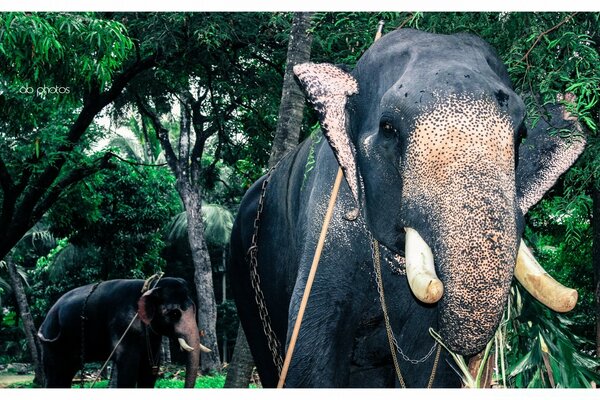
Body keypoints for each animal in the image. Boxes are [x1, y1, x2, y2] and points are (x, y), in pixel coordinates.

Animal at [38, 278, 211, 388]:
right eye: (174, 313)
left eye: (194, 309)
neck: (150, 287)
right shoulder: (124, 326)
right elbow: (128, 369)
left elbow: (150, 371)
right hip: (52, 343)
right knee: (56, 375)